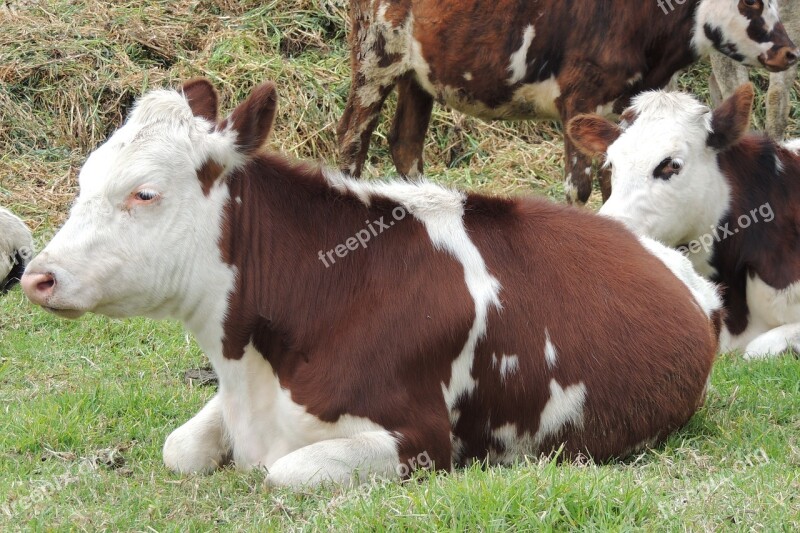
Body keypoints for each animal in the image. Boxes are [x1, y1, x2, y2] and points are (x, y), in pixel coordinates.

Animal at [18, 78, 720, 486]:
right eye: (84, 179)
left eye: (144, 192)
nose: (38, 276)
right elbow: (180, 447)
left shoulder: (421, 441)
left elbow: (284, 474)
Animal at [340, 0, 800, 206]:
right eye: (752, 2)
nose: (790, 52)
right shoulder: (580, 96)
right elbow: (579, 187)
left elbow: (614, 181)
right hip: (375, 57)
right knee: (352, 137)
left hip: (418, 74)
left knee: (405, 144)